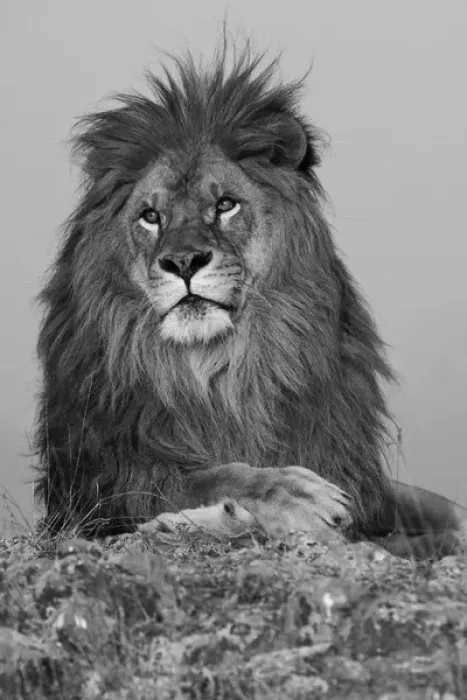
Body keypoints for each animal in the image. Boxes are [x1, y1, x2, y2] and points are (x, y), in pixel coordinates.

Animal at [34, 46, 466, 559]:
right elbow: (214, 477)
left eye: (225, 205)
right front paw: (287, 497)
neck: (218, 370)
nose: (183, 261)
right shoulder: (103, 483)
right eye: (150, 216)